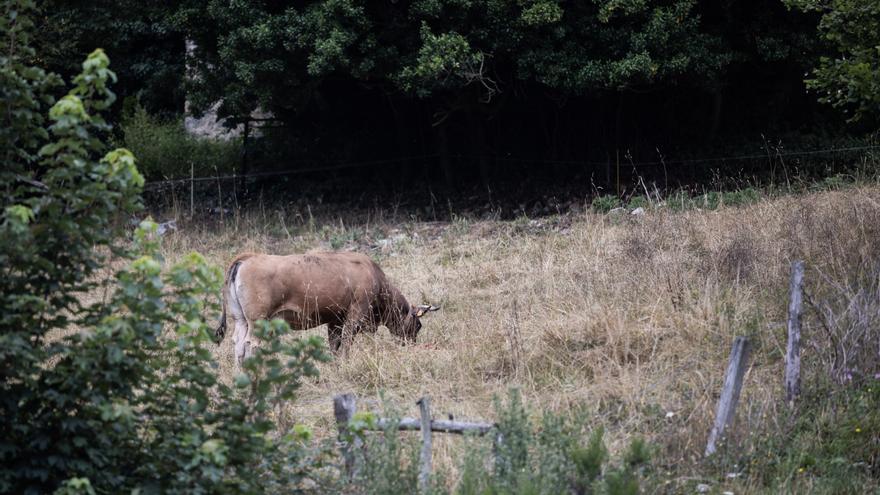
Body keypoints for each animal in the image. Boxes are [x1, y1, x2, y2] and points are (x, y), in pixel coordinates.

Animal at [214, 252, 440, 364]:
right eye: (418, 325)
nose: (411, 343)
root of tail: (248, 257)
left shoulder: (335, 320)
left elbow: (334, 343)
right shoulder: (355, 315)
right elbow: (346, 341)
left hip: (241, 320)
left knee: (238, 344)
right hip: (257, 321)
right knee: (250, 344)